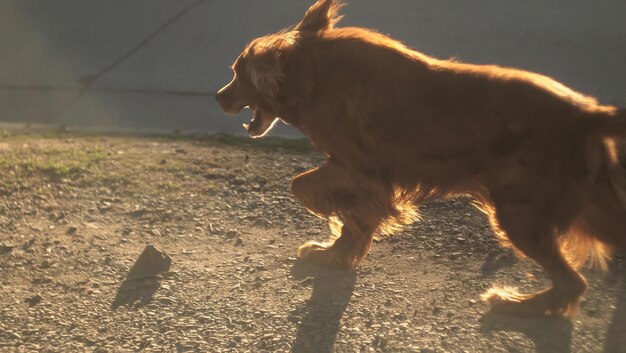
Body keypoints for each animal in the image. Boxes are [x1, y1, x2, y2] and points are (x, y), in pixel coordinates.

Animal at [216, 0, 624, 314]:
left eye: (237, 73)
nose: (219, 97)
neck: (314, 74)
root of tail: (586, 112)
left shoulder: (360, 170)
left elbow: (306, 188)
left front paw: (335, 249)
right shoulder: (362, 175)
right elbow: (350, 217)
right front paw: (337, 251)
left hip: (521, 213)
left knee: (571, 282)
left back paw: (517, 306)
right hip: (581, 207)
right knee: (576, 279)